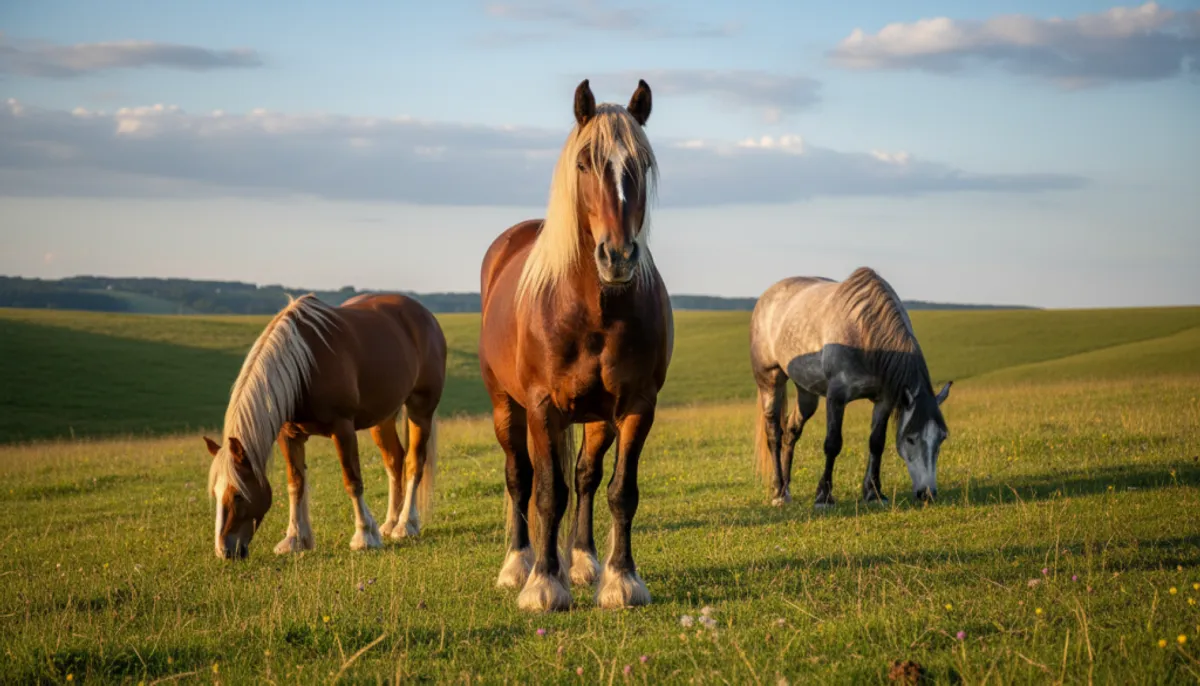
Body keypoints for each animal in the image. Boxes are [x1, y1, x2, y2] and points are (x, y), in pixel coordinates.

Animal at [204, 292, 446, 560]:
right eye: (215, 493)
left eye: (238, 495)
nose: (224, 551)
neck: (304, 366)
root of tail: (424, 314)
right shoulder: (289, 436)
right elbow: (295, 484)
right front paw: (295, 538)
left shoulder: (342, 429)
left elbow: (352, 481)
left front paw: (364, 535)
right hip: (383, 417)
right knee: (394, 460)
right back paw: (390, 523)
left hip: (420, 409)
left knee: (414, 462)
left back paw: (405, 525)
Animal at [477, 78, 673, 612]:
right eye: (584, 163)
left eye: (642, 164)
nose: (618, 256)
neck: (593, 310)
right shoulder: (543, 407)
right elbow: (547, 492)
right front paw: (544, 584)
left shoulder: (636, 407)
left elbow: (620, 491)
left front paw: (622, 580)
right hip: (507, 407)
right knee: (519, 476)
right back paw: (517, 564)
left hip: (596, 417)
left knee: (585, 476)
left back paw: (584, 562)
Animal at [749, 267, 951, 509]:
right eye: (911, 438)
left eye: (942, 437)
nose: (928, 493)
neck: (865, 334)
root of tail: (767, 297)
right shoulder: (836, 397)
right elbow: (833, 443)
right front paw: (824, 496)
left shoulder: (884, 400)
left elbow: (877, 443)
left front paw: (873, 492)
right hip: (770, 381)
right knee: (774, 434)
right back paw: (778, 491)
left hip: (806, 392)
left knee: (791, 429)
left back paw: (786, 488)